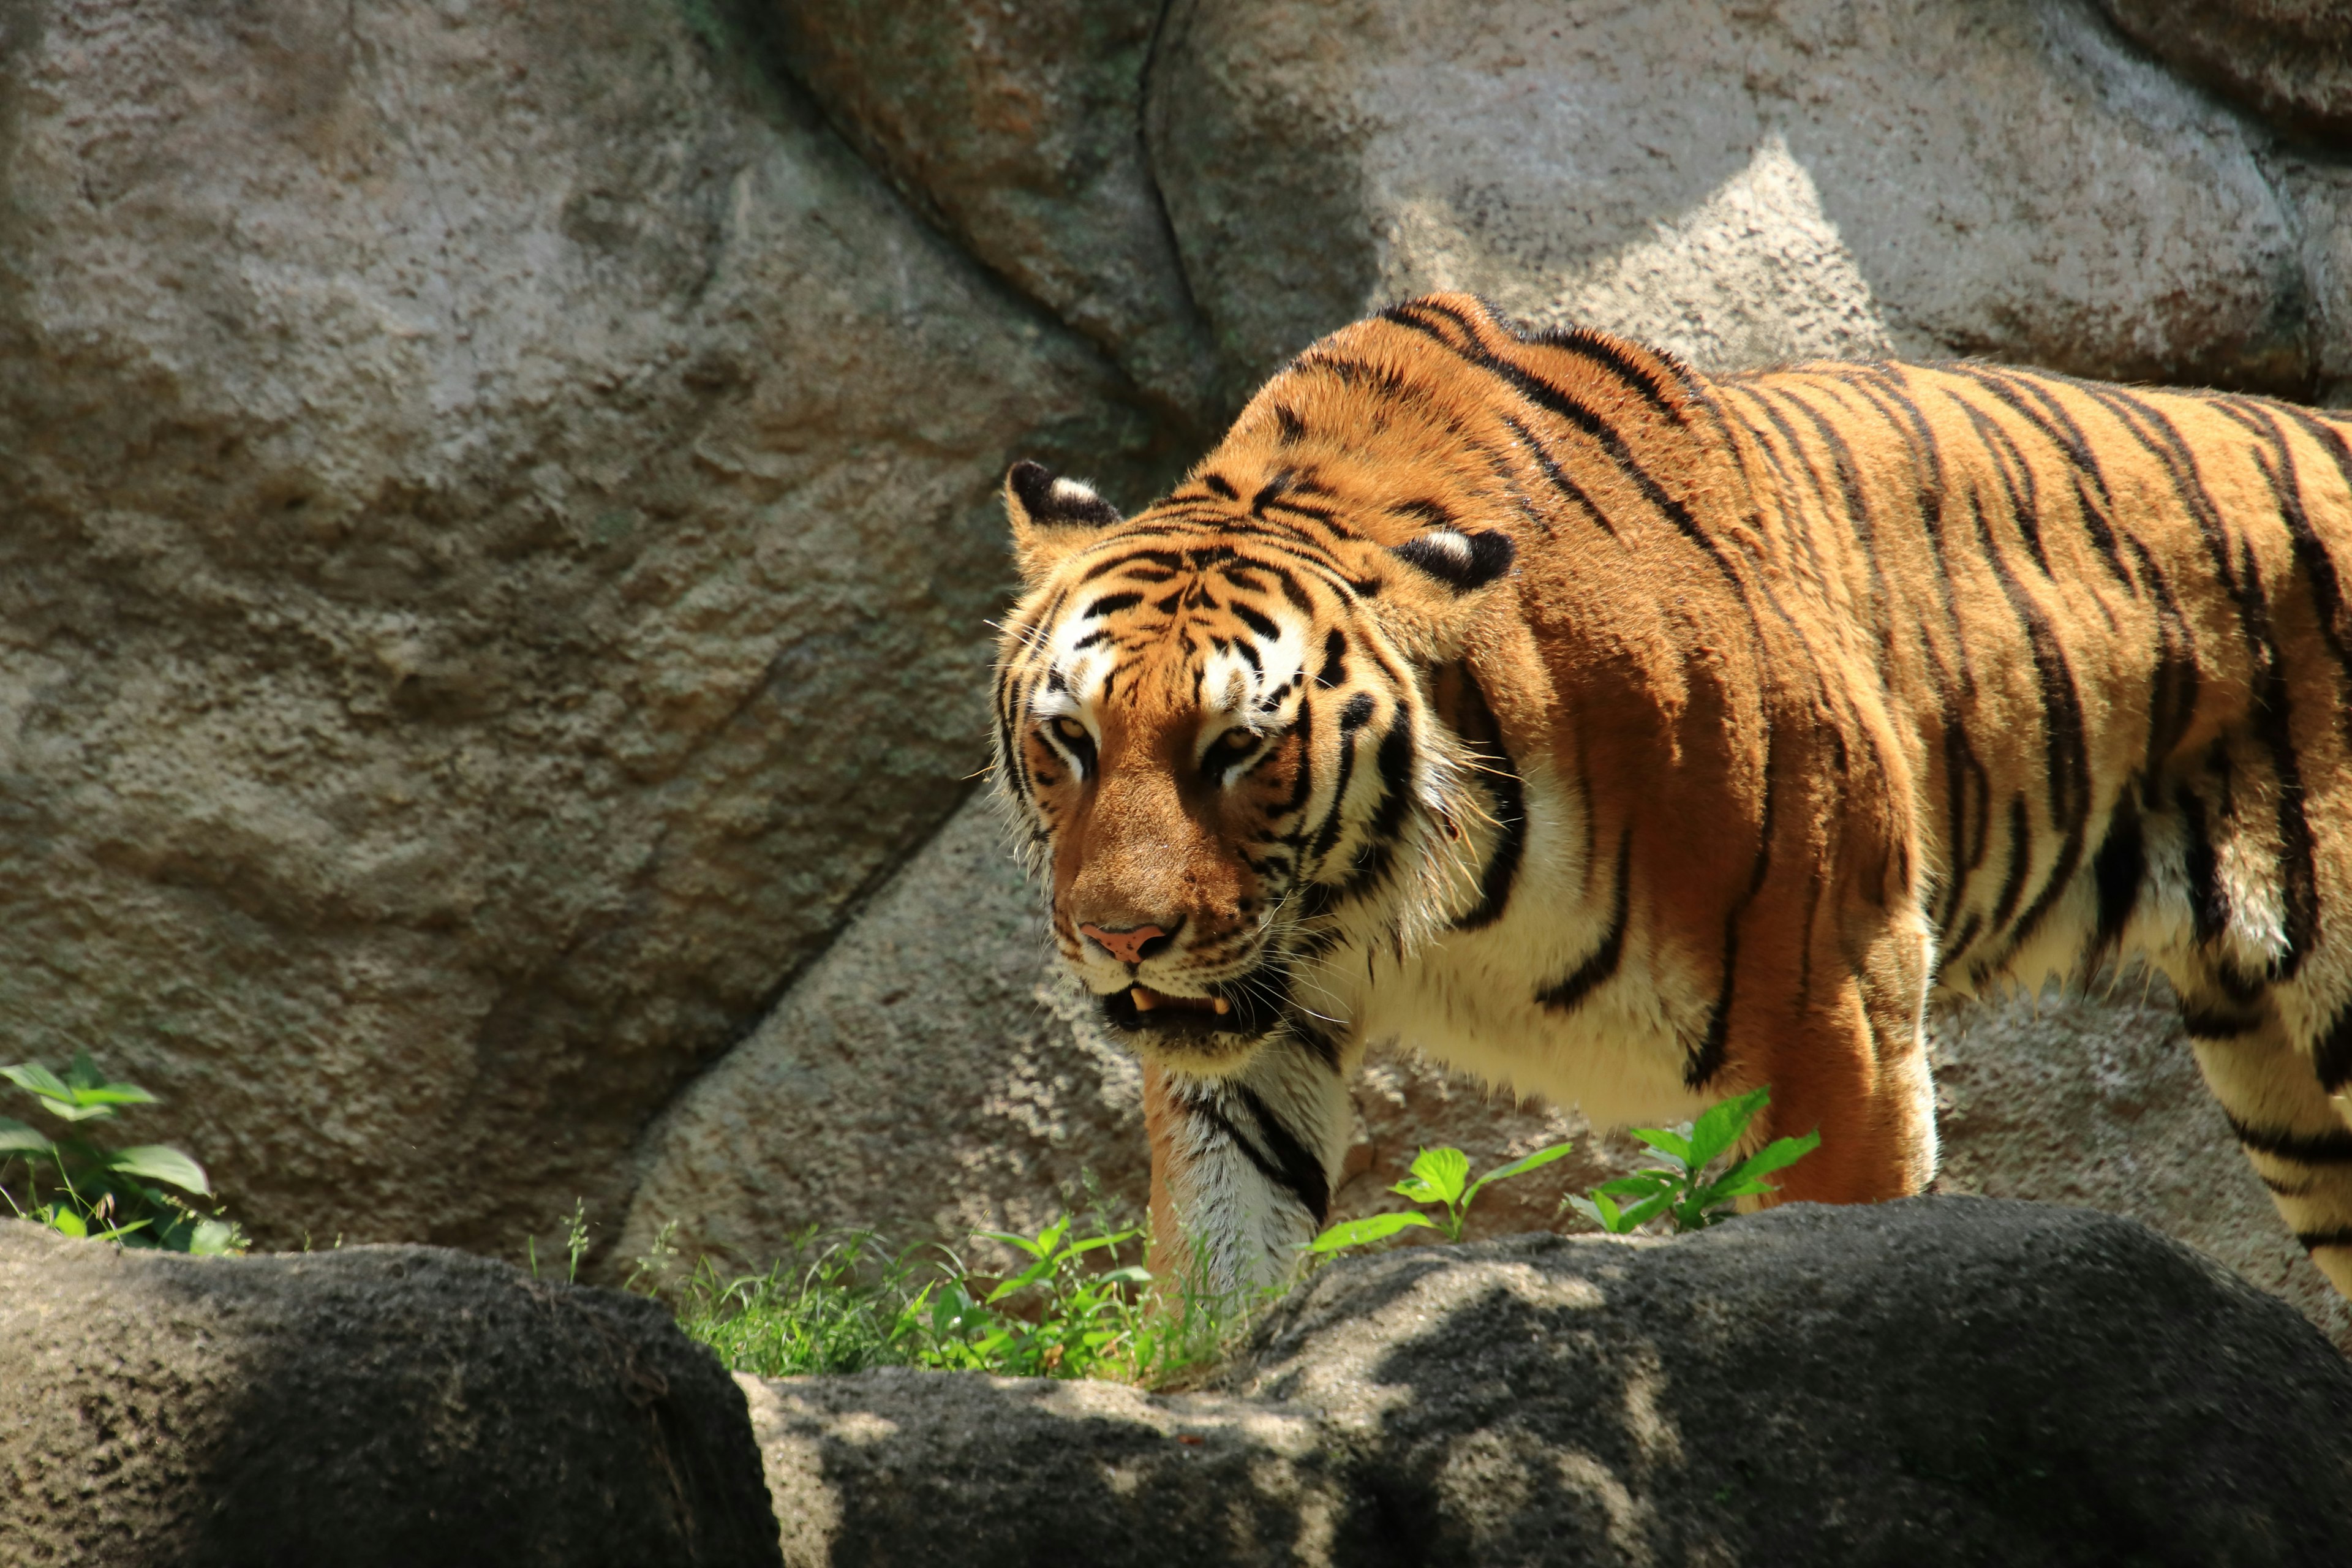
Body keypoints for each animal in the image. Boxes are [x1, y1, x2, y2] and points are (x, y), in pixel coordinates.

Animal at [983, 293, 2352, 1297]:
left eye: (1238, 748)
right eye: (1073, 739)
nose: (1119, 939)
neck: (1407, 894)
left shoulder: (1834, 1015)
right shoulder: (1252, 1044)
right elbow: (1222, 1280)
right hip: (2283, 1089)